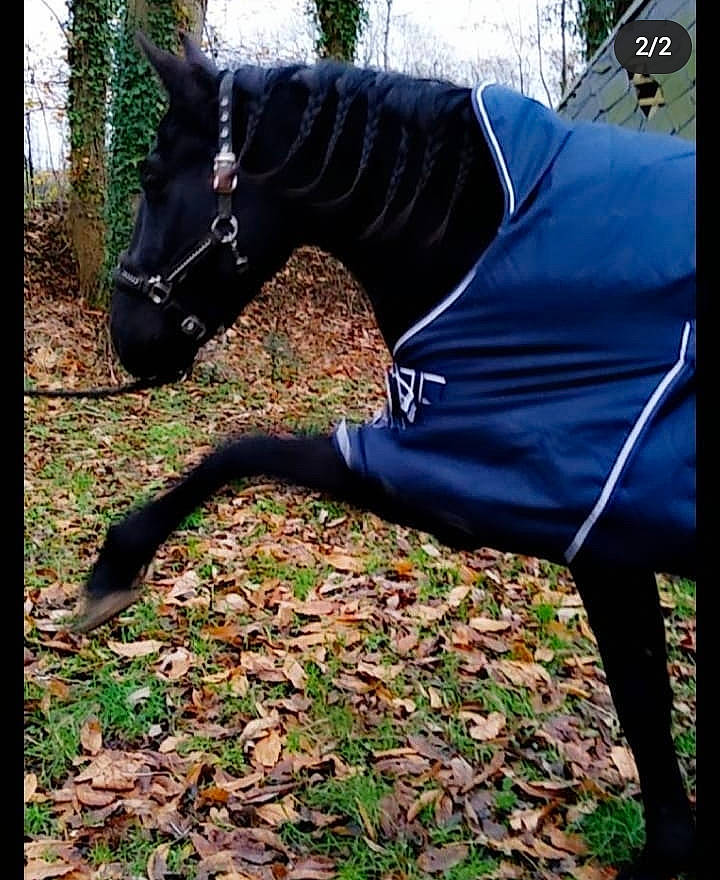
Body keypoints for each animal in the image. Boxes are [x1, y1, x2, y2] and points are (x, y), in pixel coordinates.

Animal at [80, 33, 696, 880]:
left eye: (149, 176)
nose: (125, 338)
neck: (486, 237)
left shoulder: (501, 494)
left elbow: (237, 451)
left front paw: (117, 561)